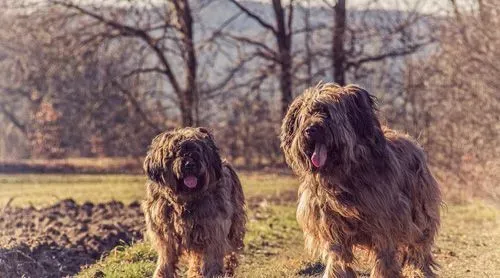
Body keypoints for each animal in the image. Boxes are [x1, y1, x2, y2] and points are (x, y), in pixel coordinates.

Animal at [143, 127, 246, 278]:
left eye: (197, 150)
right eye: (175, 152)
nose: (189, 164)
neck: (185, 201)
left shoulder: (213, 228)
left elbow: (212, 255)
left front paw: (213, 273)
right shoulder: (166, 232)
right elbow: (166, 256)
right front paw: (162, 274)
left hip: (234, 225)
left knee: (229, 250)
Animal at [282, 83, 442, 276]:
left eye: (327, 113)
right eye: (306, 115)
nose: (310, 130)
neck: (343, 176)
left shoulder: (386, 225)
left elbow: (385, 259)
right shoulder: (332, 226)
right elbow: (338, 258)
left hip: (420, 212)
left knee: (419, 248)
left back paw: (420, 271)